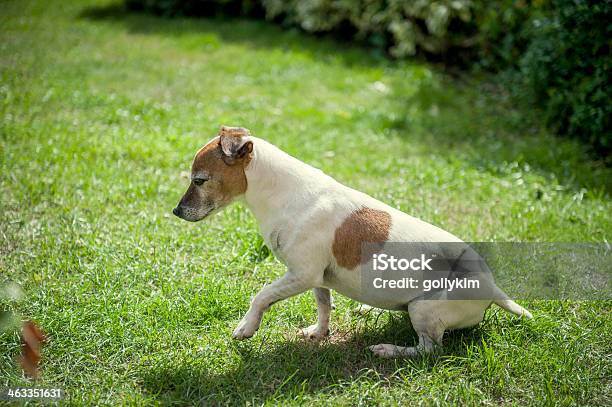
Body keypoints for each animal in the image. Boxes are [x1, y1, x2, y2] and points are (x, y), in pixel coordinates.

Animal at [172, 126, 532, 358]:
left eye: (199, 180)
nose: (176, 211)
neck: (283, 193)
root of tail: (493, 288)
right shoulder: (316, 278)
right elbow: (324, 306)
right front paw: (318, 334)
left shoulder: (300, 275)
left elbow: (261, 296)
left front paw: (246, 328)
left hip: (424, 310)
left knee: (429, 350)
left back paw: (388, 350)